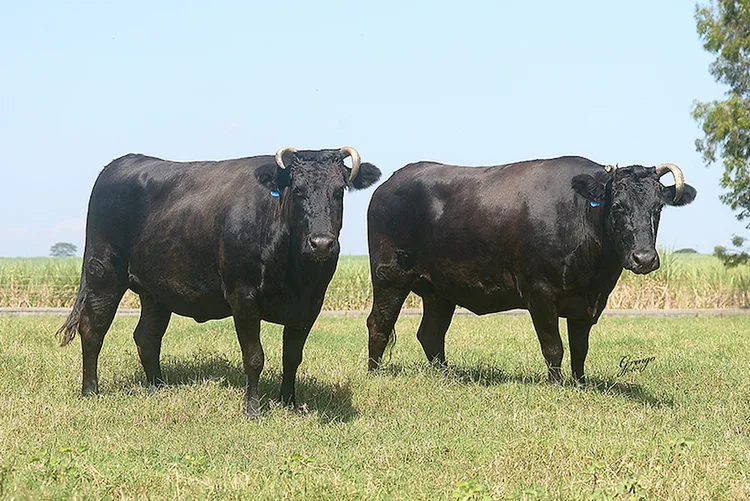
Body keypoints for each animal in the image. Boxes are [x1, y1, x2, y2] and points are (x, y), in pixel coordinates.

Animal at [60, 147, 382, 414]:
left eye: (339, 191)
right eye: (298, 190)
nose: (321, 243)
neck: (295, 274)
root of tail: (121, 162)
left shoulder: (310, 305)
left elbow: (292, 357)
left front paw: (289, 403)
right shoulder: (243, 296)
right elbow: (254, 356)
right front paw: (253, 409)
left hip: (156, 291)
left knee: (147, 336)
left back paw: (158, 388)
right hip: (103, 273)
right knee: (92, 330)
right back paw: (91, 391)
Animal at [368, 156, 700, 382]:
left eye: (658, 207)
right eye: (617, 205)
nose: (644, 258)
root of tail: (391, 182)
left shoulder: (588, 303)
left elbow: (580, 349)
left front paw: (580, 384)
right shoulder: (540, 293)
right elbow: (554, 347)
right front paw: (557, 384)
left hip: (440, 290)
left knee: (431, 333)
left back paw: (446, 375)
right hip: (389, 277)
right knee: (379, 324)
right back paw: (375, 373)